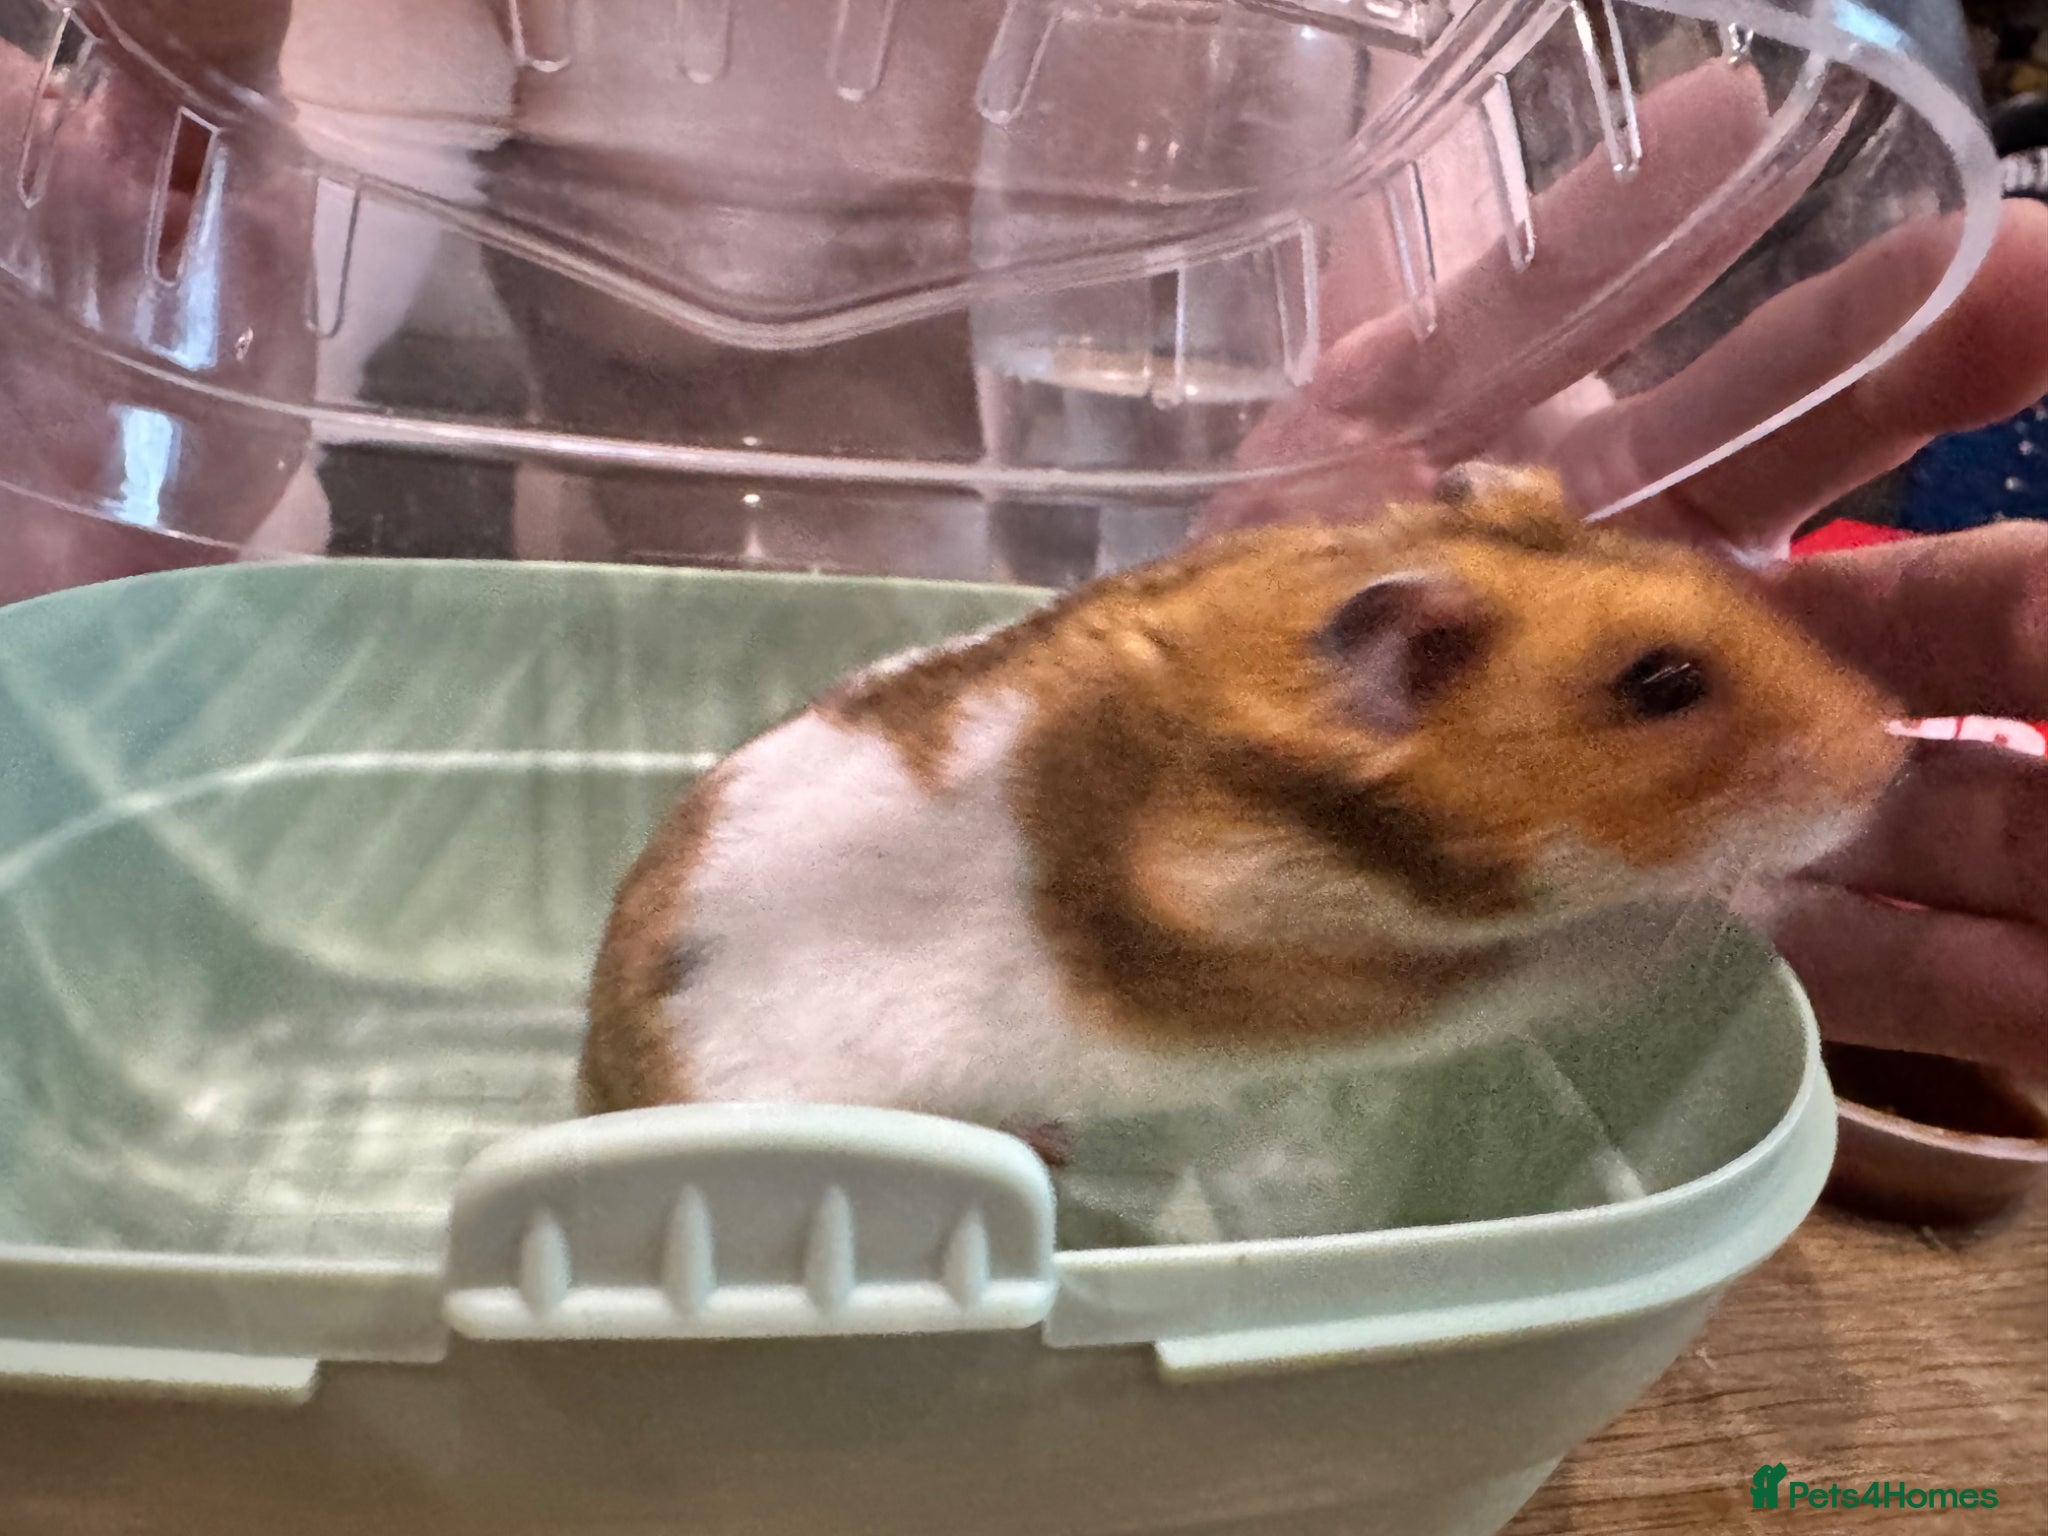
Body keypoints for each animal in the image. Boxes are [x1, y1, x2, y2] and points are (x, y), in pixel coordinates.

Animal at [580, 465, 1906, 1139]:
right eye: (1661, 683)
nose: (1890, 758)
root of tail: (594, 1082)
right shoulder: (1318, 988)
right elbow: (1565, 958)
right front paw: (1753, 921)